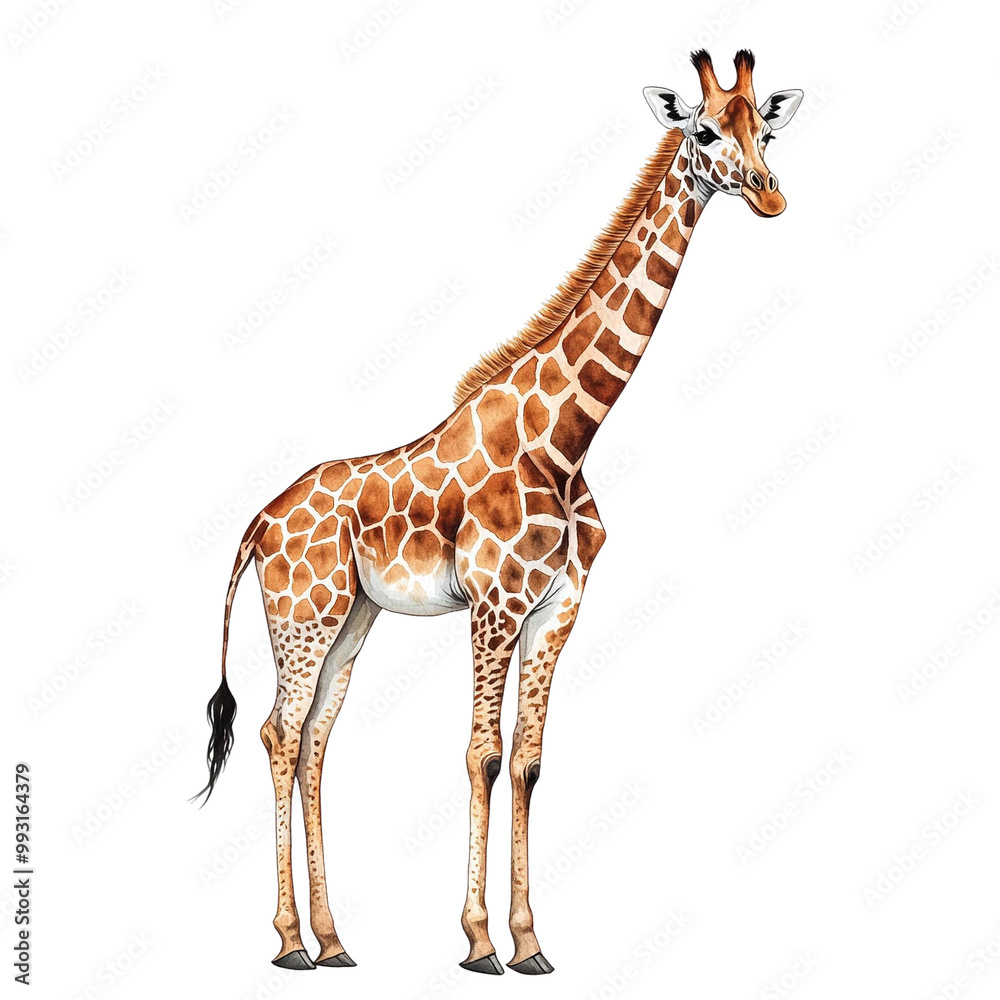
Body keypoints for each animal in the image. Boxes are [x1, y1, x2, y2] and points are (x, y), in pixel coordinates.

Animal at [194, 49, 803, 974]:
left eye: (764, 127)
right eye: (702, 130)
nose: (770, 195)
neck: (568, 436)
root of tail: (259, 521)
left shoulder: (558, 608)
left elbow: (527, 761)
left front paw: (530, 940)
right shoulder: (494, 605)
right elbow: (481, 754)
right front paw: (481, 942)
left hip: (352, 618)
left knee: (314, 740)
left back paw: (334, 939)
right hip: (303, 613)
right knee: (279, 732)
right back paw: (292, 940)